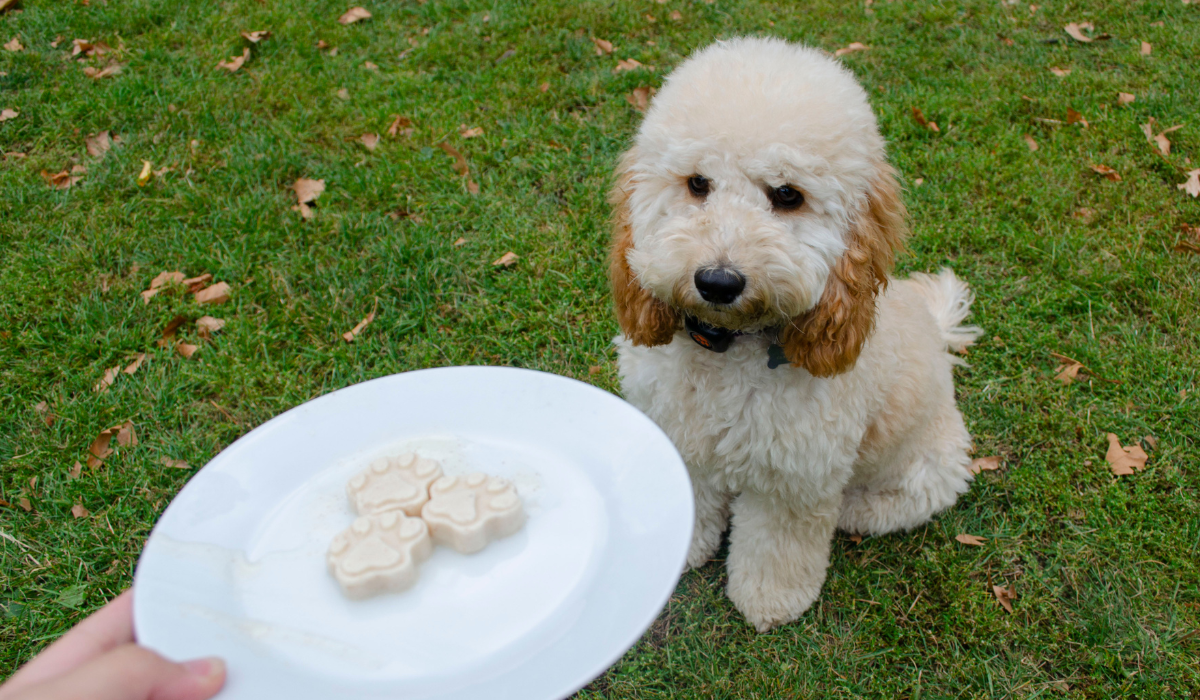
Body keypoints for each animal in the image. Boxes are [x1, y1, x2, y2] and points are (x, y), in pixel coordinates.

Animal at [609, 35, 984, 633]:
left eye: (787, 195)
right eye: (697, 184)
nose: (717, 282)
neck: (729, 348)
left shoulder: (797, 477)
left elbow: (777, 546)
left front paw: (768, 600)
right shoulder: (680, 434)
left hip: (925, 472)